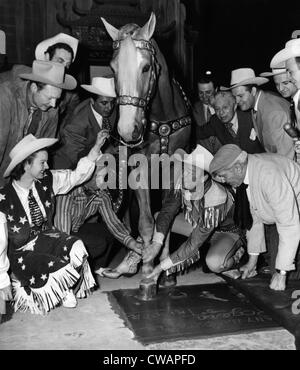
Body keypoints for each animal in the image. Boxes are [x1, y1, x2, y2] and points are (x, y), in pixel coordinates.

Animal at [100, 13, 190, 282]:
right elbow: (147, 223)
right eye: (113, 69)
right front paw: (148, 269)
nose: (128, 130)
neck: (161, 118)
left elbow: (165, 219)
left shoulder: (173, 168)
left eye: (146, 67)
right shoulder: (139, 170)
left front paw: (166, 271)